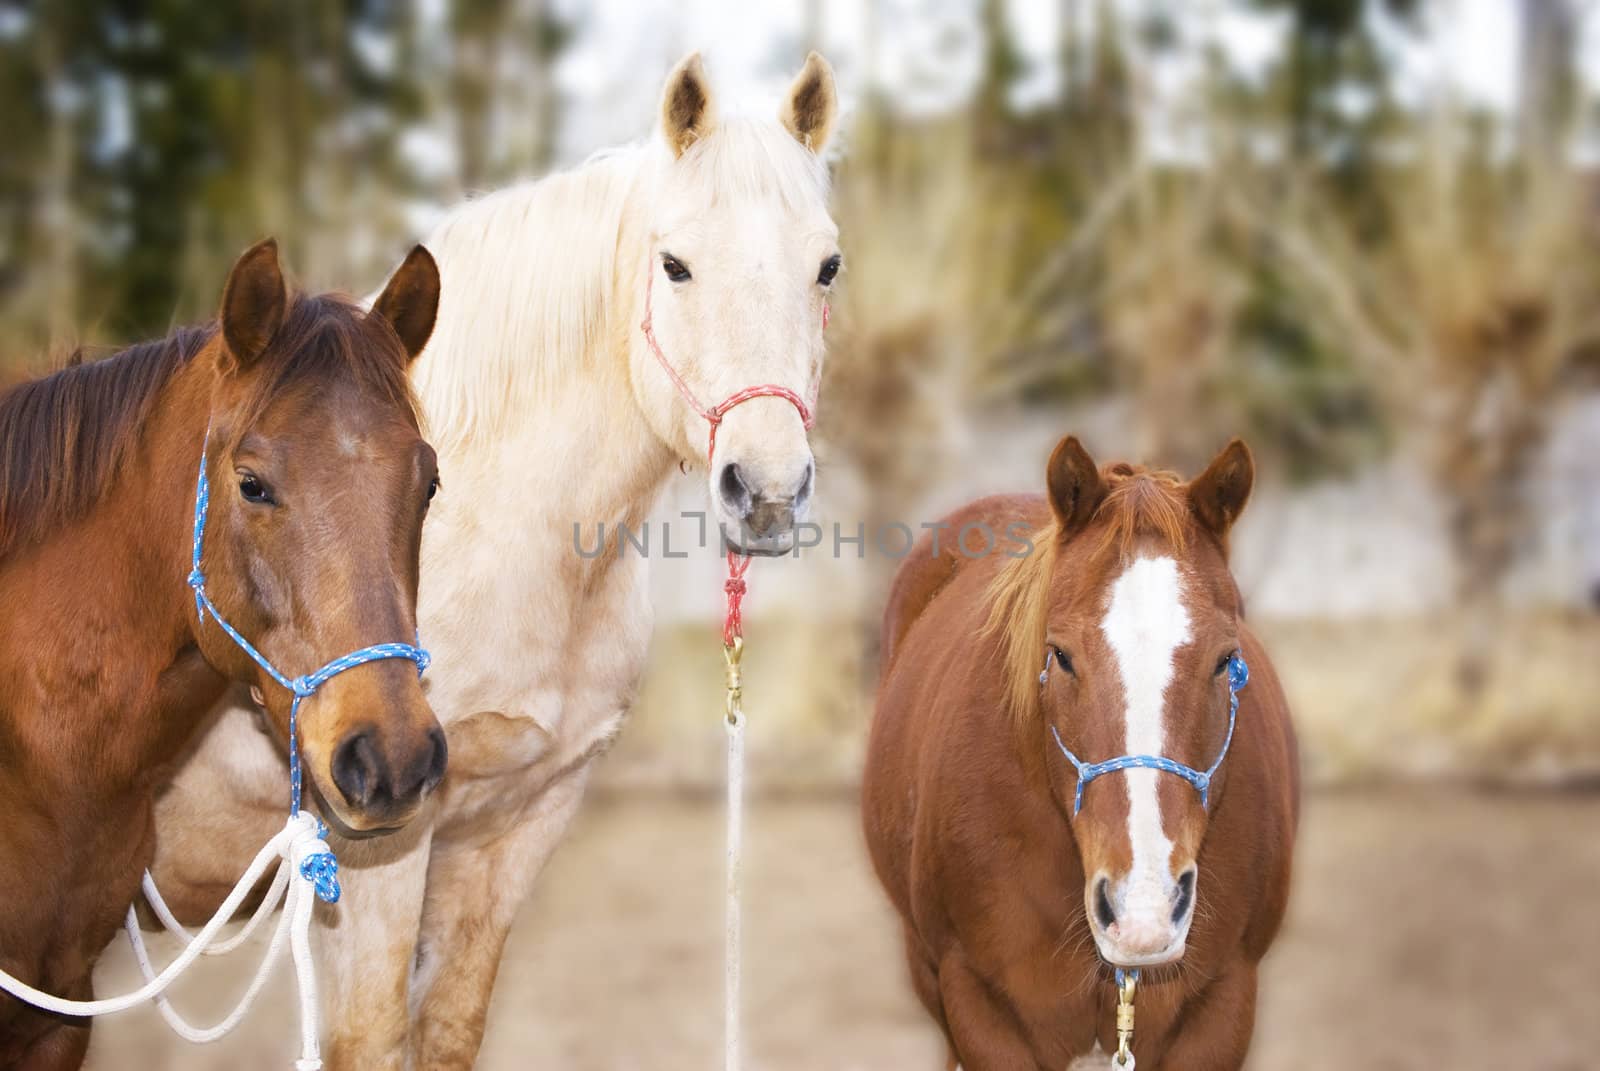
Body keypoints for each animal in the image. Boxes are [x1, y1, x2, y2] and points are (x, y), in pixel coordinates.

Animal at [150, 52, 844, 1069]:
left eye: (827, 266)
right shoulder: (378, 847)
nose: (766, 490)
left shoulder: (515, 827)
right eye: (674, 264)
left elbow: (450, 1028)